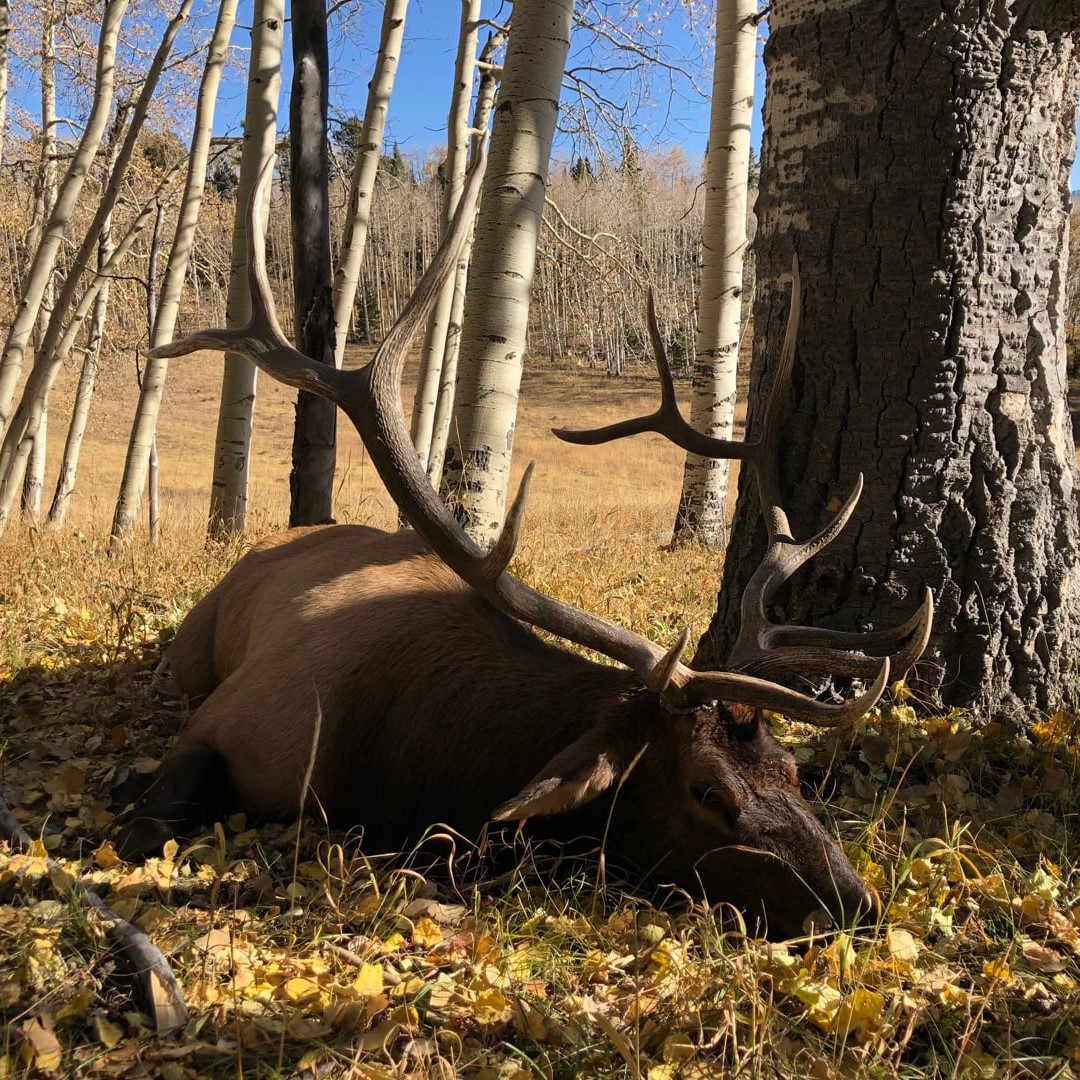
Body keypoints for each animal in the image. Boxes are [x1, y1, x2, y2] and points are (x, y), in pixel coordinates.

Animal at [113, 147, 933, 941]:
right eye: (708, 789)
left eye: (791, 770)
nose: (858, 904)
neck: (406, 769)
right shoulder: (234, 721)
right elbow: (148, 824)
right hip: (194, 645)